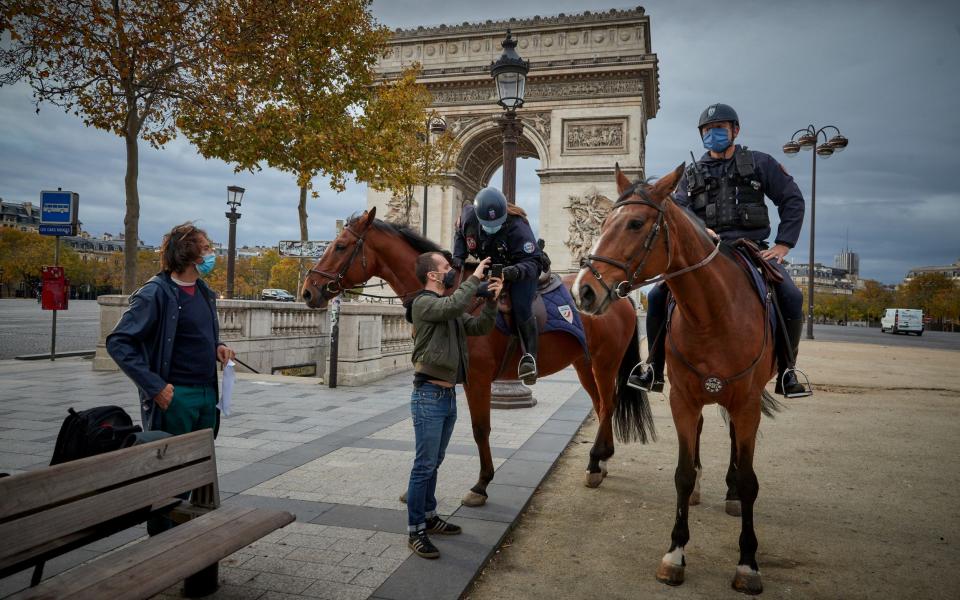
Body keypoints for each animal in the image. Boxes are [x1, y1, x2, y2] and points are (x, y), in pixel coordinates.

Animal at [304, 207, 656, 506]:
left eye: (340, 246)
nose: (309, 289)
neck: (451, 294)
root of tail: (619, 294)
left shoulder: (478, 378)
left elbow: (479, 429)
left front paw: (481, 484)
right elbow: (443, 431)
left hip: (605, 362)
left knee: (608, 403)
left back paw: (596, 459)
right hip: (584, 363)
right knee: (600, 404)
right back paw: (601, 459)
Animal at [572, 165, 784, 596]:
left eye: (636, 224)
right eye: (601, 224)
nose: (583, 289)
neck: (712, 314)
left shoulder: (748, 402)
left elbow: (750, 479)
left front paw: (748, 562)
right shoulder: (682, 399)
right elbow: (682, 475)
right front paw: (675, 553)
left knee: (735, 440)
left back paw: (730, 489)